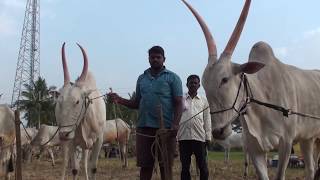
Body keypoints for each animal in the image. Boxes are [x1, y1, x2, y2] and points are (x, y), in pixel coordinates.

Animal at [54, 43, 105, 180]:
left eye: (77, 101)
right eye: (59, 102)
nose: (64, 134)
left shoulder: (99, 140)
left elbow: (93, 167)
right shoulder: (72, 142)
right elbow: (75, 169)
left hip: (85, 146)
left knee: (85, 162)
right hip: (65, 141)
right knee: (65, 161)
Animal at [182, 0, 320, 179]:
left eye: (225, 79)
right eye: (203, 83)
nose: (218, 131)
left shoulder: (286, 142)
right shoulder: (254, 147)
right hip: (308, 139)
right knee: (311, 168)